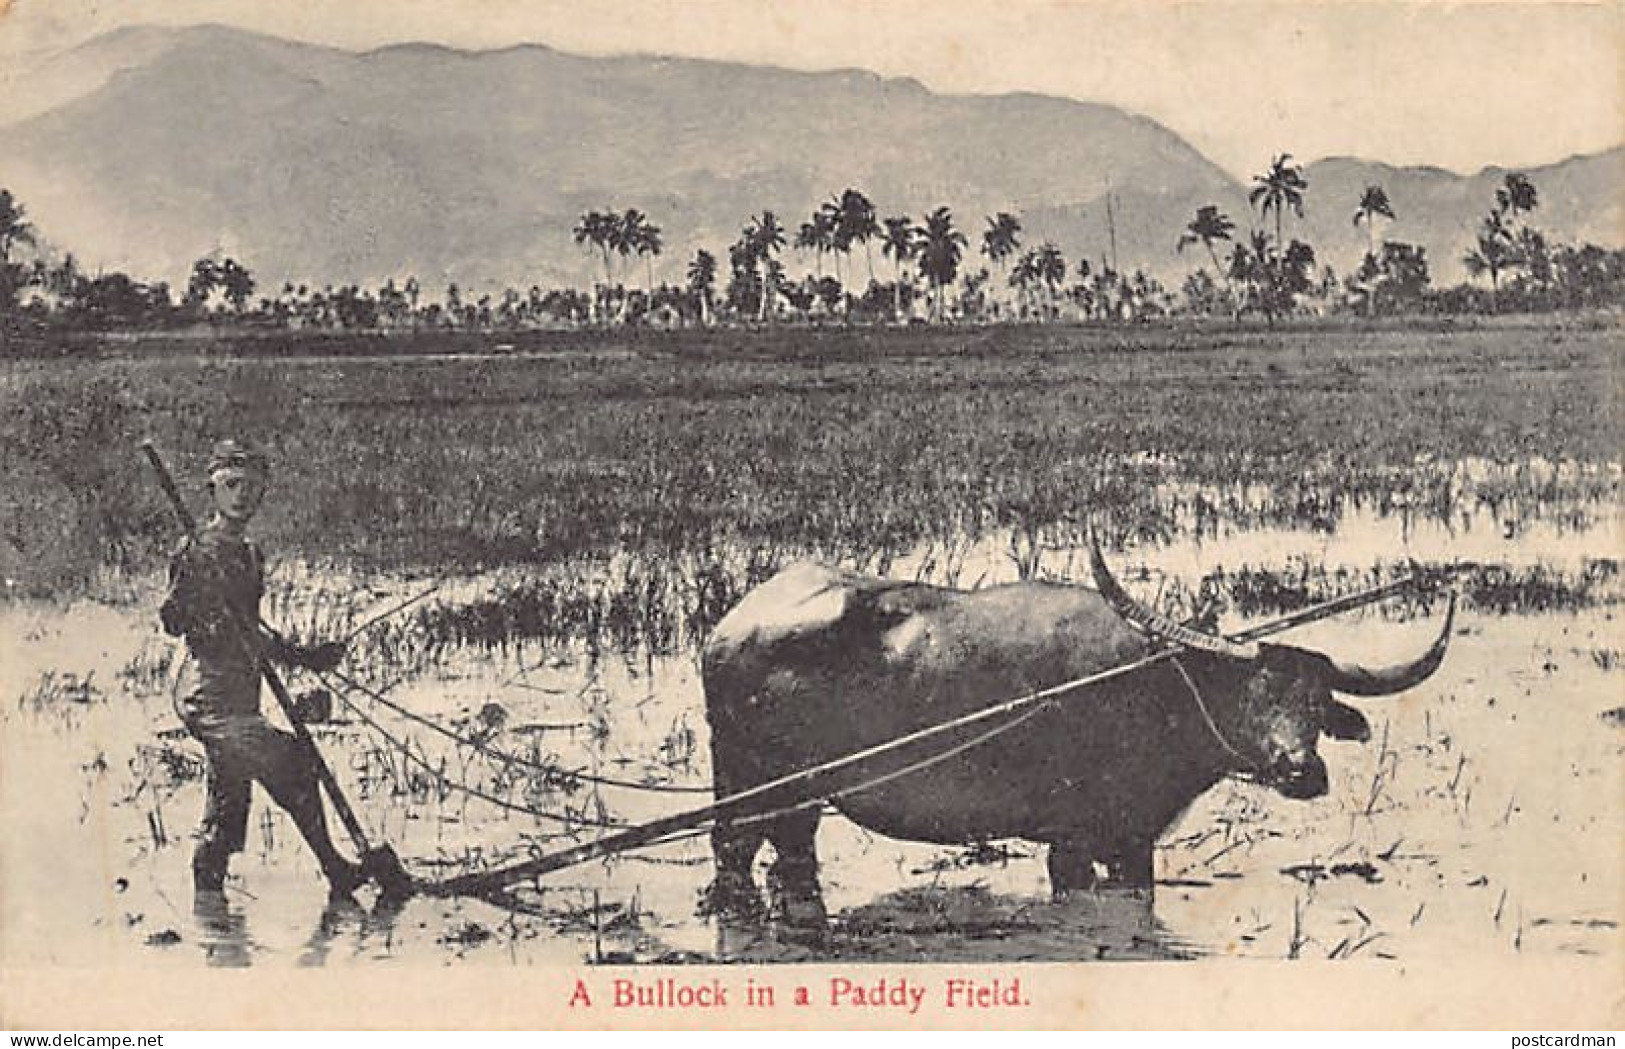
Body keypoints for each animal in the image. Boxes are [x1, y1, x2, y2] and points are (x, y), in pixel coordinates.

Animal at [698, 552, 1449, 922]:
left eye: (1316, 702)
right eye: (1253, 692)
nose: (1299, 769)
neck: (1156, 692)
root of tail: (727, 628)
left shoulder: (1133, 842)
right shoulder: (1071, 843)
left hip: (796, 805)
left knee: (792, 858)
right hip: (747, 788)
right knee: (733, 855)